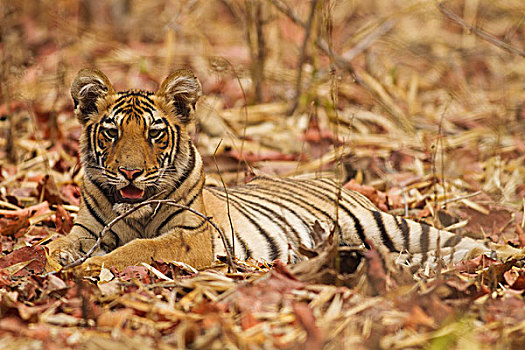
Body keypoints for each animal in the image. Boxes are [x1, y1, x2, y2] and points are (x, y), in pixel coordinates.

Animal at [47, 69, 498, 276]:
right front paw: (44, 263)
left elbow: (139, 248)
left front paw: (87, 269)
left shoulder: (191, 236)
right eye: (111, 132)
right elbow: (57, 243)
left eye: (155, 133)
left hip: (383, 224)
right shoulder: (85, 231)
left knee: (457, 241)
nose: (129, 173)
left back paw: (494, 258)